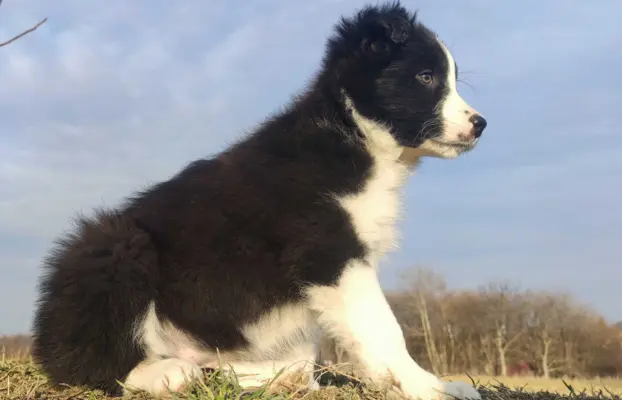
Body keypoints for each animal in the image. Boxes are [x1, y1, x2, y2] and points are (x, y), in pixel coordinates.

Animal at [31, 1, 490, 398]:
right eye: (426, 77)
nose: (481, 124)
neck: (355, 138)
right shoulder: (329, 251)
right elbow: (382, 327)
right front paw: (429, 387)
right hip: (115, 247)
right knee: (93, 363)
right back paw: (167, 374)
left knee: (278, 361)